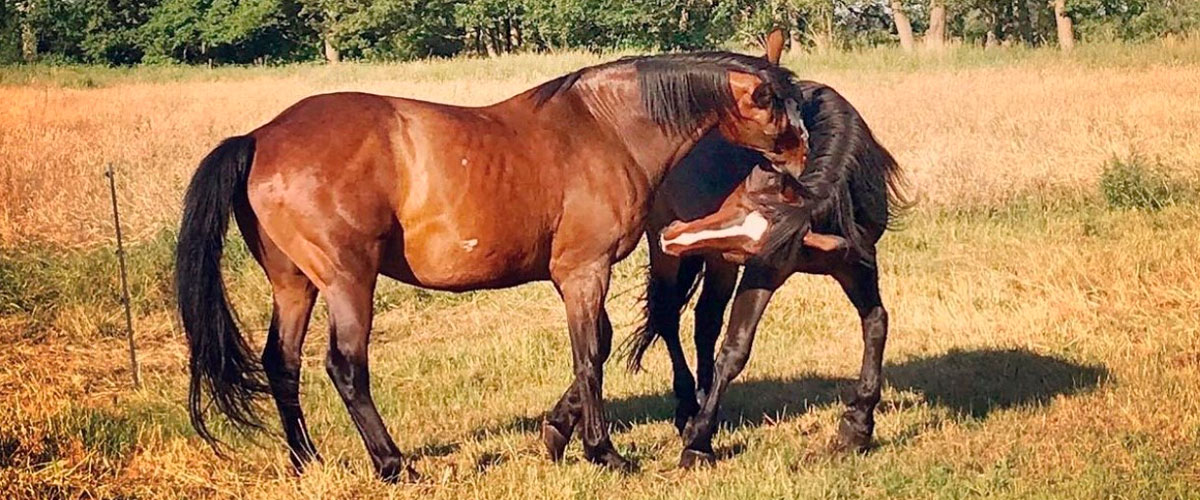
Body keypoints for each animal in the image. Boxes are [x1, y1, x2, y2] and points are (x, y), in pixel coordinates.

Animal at [174, 51, 814, 480]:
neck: (606, 128)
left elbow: (599, 346)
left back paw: (307, 460)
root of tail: (259, 137)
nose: (804, 165)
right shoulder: (585, 271)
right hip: (348, 281)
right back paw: (393, 464)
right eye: (780, 107)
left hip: (295, 284)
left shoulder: (574, 275)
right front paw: (601, 451)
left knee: (281, 365)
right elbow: (590, 356)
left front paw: (557, 433)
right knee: (345, 367)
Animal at [623, 77, 910, 468]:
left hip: (718, 264)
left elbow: (876, 322)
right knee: (669, 316)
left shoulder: (855, 261)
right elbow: (735, 349)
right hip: (665, 245)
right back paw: (686, 410)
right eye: (732, 200)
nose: (675, 235)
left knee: (705, 322)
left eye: (745, 246)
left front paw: (857, 426)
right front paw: (698, 442)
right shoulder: (763, 272)